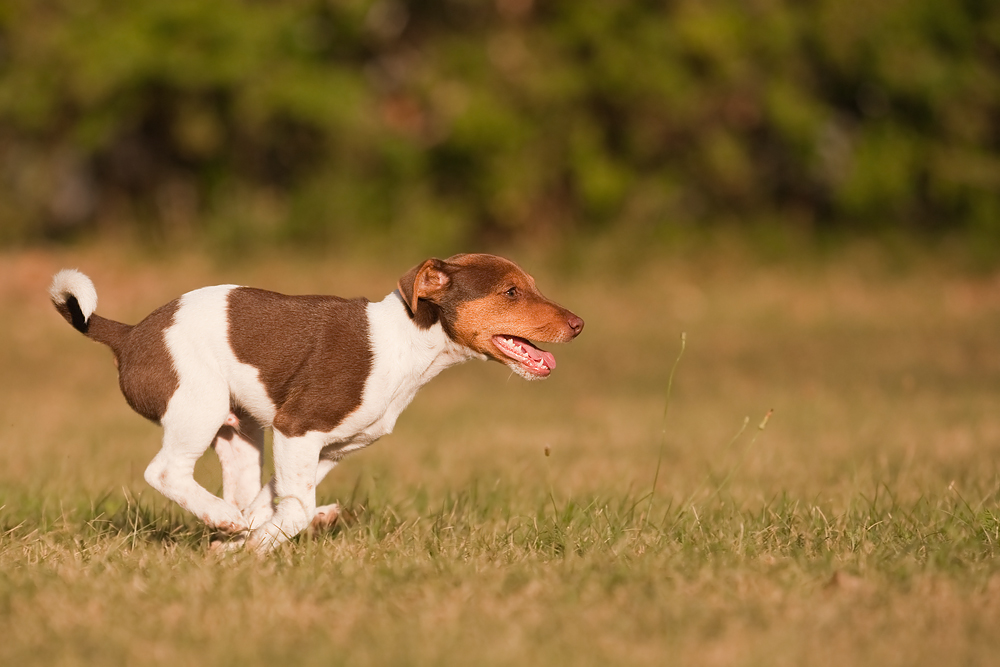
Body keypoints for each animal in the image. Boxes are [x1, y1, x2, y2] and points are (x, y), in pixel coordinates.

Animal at [50, 253, 584, 552]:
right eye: (510, 292)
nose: (579, 324)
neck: (409, 343)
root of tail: (129, 335)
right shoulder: (298, 426)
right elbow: (294, 509)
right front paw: (252, 547)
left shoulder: (329, 447)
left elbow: (279, 501)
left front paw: (245, 546)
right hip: (198, 406)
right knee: (165, 472)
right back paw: (222, 519)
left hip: (240, 432)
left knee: (242, 493)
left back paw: (233, 526)